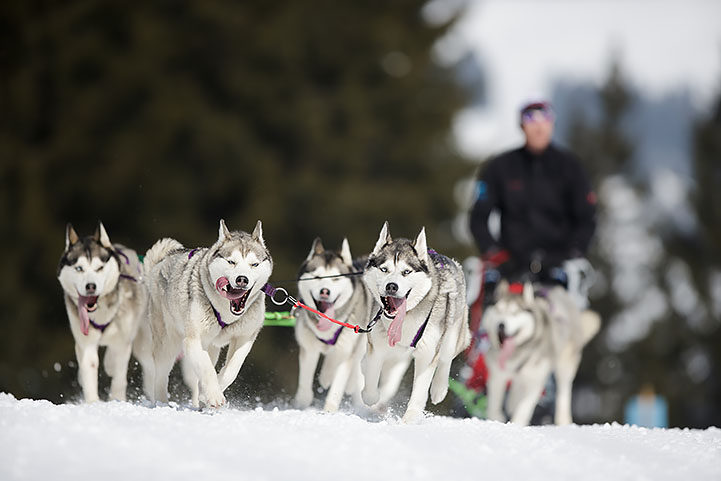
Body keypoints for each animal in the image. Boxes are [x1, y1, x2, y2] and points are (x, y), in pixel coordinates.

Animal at [57, 222, 146, 402]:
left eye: (99, 268)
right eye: (79, 268)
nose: (90, 286)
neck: (100, 313)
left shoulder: (122, 342)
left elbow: (119, 376)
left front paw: (117, 399)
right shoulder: (86, 341)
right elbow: (89, 367)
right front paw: (92, 402)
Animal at [142, 219, 272, 406]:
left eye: (254, 264)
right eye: (231, 262)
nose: (242, 279)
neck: (226, 313)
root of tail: (161, 260)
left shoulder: (245, 338)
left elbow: (232, 369)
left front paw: (208, 393)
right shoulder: (193, 340)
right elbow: (206, 368)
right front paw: (213, 395)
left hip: (212, 346)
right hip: (168, 342)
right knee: (161, 375)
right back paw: (162, 403)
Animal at [358, 221, 466, 420]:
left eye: (406, 272)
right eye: (384, 269)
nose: (391, 286)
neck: (406, 317)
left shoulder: (427, 353)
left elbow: (419, 392)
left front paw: (409, 419)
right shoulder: (377, 346)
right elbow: (370, 382)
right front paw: (371, 397)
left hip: (453, 333)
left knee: (446, 358)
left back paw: (439, 390)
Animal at [480, 282, 600, 424]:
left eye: (515, 313)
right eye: (499, 310)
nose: (501, 325)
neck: (517, 353)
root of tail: (558, 290)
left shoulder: (535, 382)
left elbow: (524, 408)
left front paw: (516, 423)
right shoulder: (498, 375)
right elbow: (494, 404)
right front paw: (496, 418)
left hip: (564, 367)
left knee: (563, 392)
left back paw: (563, 419)